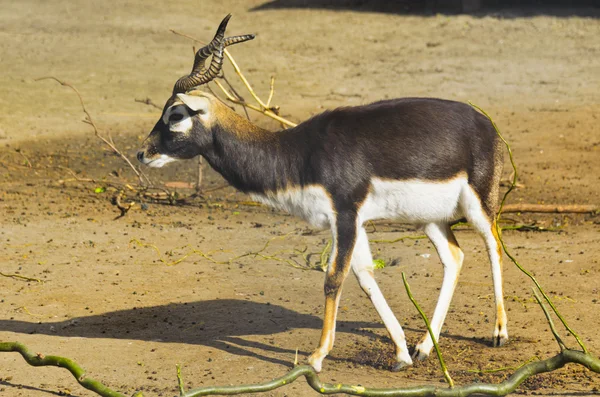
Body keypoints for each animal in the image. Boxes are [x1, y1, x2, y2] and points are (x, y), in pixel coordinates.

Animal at [138, 14, 508, 372]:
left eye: (175, 114)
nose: (143, 153)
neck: (299, 153)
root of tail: (485, 122)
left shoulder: (345, 214)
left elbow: (333, 278)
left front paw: (316, 357)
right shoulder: (352, 222)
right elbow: (365, 276)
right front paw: (402, 355)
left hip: (479, 203)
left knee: (494, 245)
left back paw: (499, 333)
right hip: (429, 218)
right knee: (454, 257)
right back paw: (424, 348)